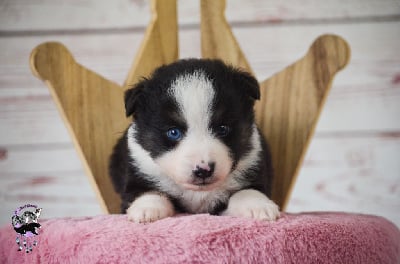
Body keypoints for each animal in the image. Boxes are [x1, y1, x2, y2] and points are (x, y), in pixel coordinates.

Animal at [108, 58, 280, 223]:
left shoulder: (253, 164)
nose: (203, 170)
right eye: (173, 132)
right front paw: (147, 210)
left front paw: (259, 207)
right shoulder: (139, 169)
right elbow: (148, 192)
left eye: (223, 128)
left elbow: (248, 191)